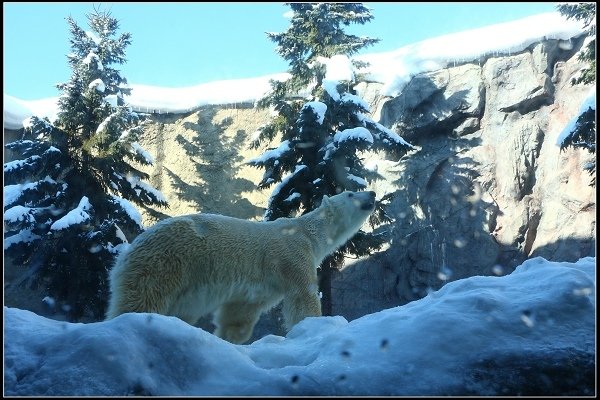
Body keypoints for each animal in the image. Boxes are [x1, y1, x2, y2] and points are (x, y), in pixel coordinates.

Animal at [104, 191, 376, 344]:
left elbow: (239, 312)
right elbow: (303, 295)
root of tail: (127, 253)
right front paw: (315, 328)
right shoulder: (292, 254)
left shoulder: (260, 287)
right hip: (164, 264)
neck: (309, 232)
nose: (372, 193)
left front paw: (230, 338)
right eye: (351, 193)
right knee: (144, 299)